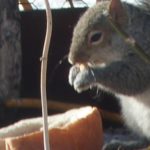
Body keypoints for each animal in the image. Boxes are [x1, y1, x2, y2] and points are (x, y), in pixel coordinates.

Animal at [68, 0, 150, 149]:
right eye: (75, 29)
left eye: (96, 37)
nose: (71, 59)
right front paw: (74, 71)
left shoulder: (143, 56)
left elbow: (133, 77)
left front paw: (86, 76)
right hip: (132, 119)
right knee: (145, 139)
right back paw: (125, 143)